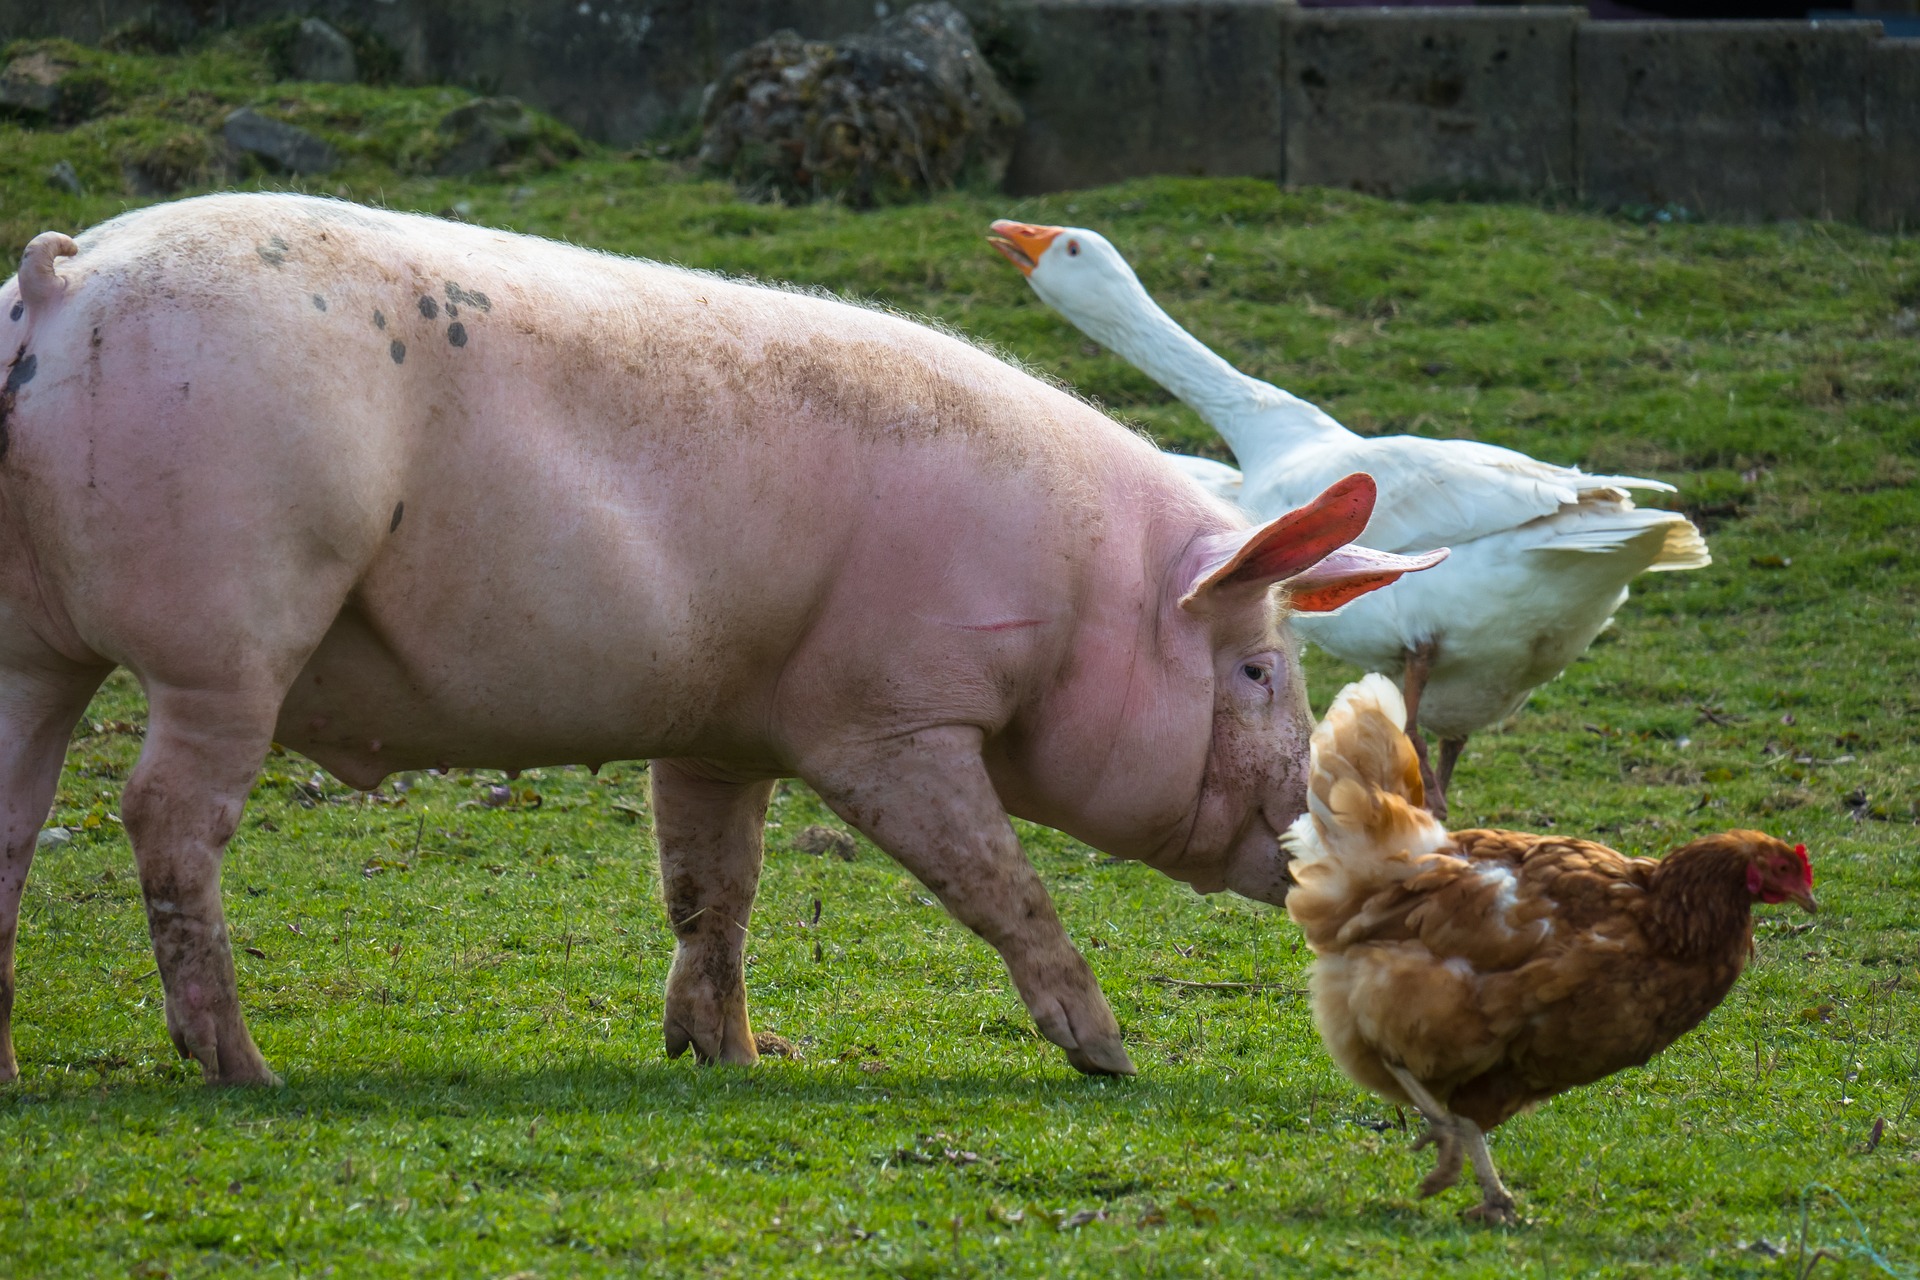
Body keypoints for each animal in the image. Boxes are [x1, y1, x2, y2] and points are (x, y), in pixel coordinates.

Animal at [0, 195, 1443, 1090]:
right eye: (1257, 667)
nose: (1316, 841)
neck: (1080, 589)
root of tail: (62, 277)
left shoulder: (722, 728)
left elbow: (711, 887)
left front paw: (729, 1058)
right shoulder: (886, 716)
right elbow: (995, 877)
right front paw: (1110, 1056)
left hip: (32, 642)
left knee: (17, 817)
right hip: (230, 625)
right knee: (163, 814)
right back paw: (247, 1069)